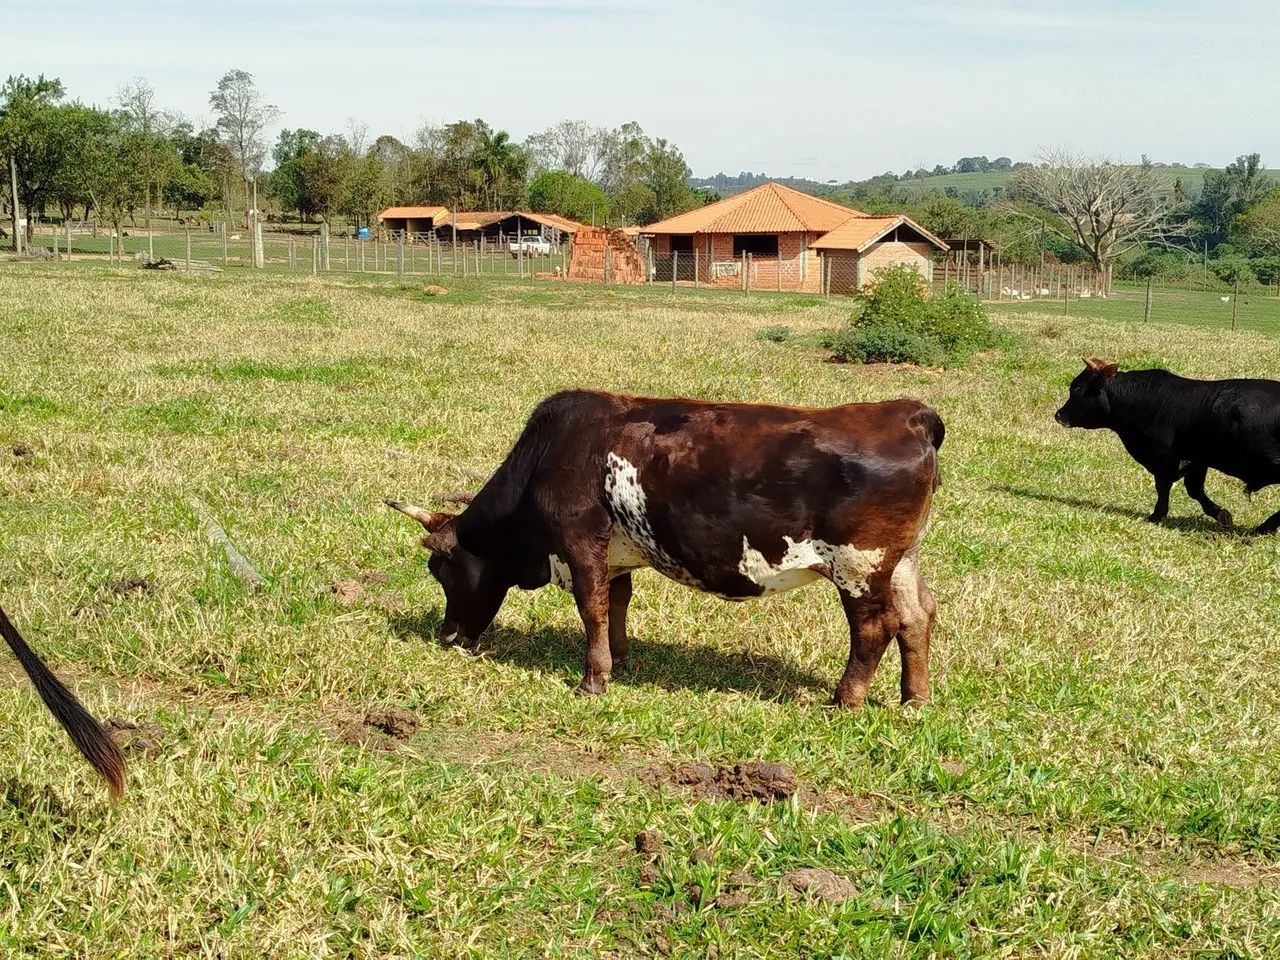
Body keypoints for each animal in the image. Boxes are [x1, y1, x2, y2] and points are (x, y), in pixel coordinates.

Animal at [388, 389, 944, 708]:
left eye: (441, 567)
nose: (447, 635)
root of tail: (909, 414)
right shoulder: (615, 555)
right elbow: (616, 603)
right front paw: (620, 658)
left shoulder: (580, 546)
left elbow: (591, 609)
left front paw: (593, 680)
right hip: (901, 561)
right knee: (918, 616)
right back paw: (914, 698)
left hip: (858, 565)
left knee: (875, 628)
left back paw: (845, 698)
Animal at [1055, 358, 1280, 533]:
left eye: (1077, 389)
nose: (1058, 415)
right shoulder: (1196, 459)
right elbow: (1194, 489)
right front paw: (1223, 515)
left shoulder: (1164, 459)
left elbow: (1163, 487)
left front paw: (1157, 515)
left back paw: (1263, 528)